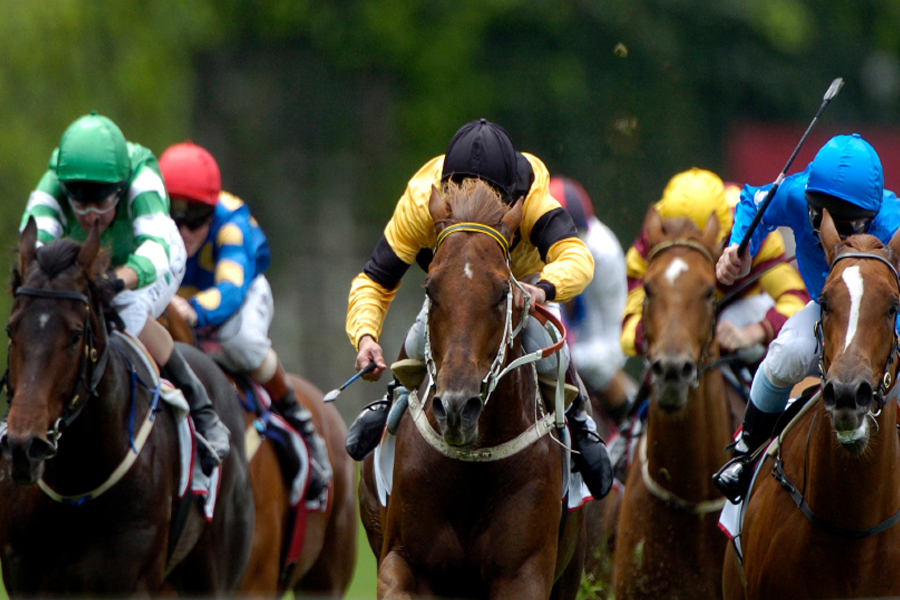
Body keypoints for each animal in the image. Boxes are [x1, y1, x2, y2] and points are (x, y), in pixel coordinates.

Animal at [0, 220, 253, 596]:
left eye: (76, 335)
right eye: (10, 330)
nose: (23, 447)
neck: (75, 487)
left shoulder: (133, 582)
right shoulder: (27, 581)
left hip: (213, 572)